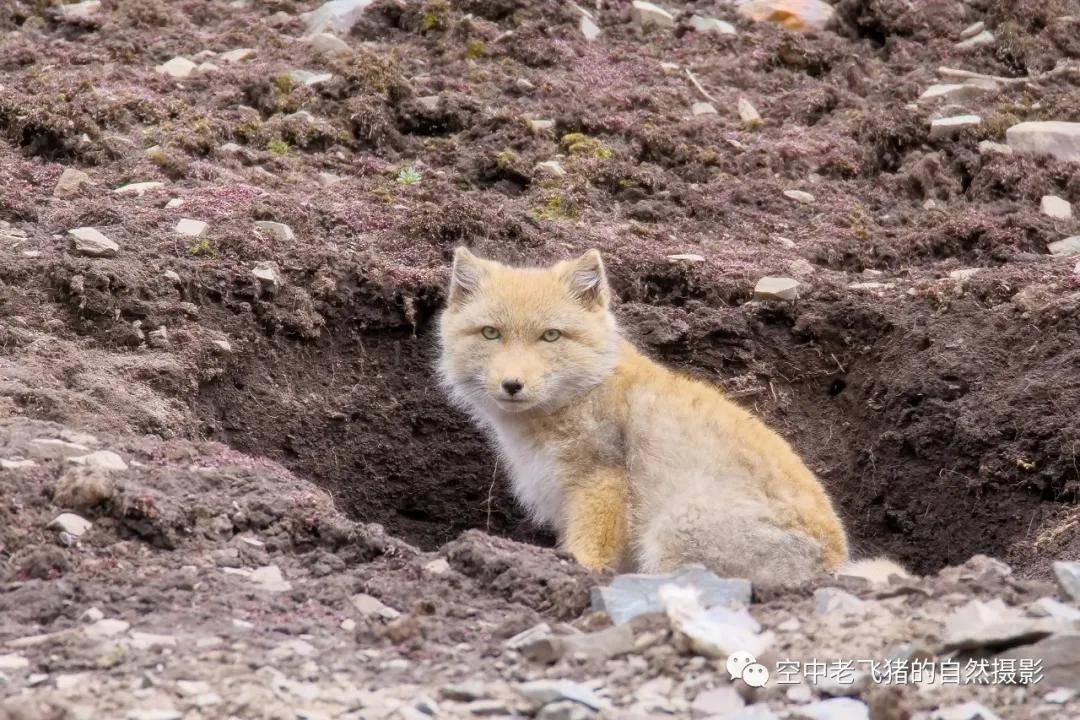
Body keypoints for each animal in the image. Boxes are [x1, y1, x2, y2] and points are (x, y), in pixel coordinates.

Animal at [434, 248, 907, 591]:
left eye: (550, 336)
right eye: (490, 333)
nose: (512, 384)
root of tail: (834, 564)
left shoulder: (600, 485)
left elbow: (589, 554)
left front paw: (577, 576)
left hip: (672, 528)